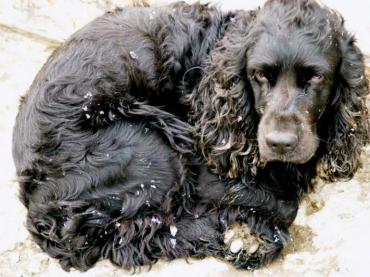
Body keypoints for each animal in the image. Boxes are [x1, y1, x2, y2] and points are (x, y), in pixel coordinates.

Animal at [12, 0, 370, 272]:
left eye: (316, 77)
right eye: (258, 75)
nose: (280, 143)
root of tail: (34, 198)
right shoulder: (208, 166)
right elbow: (283, 203)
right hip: (150, 147)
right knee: (129, 236)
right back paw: (238, 236)